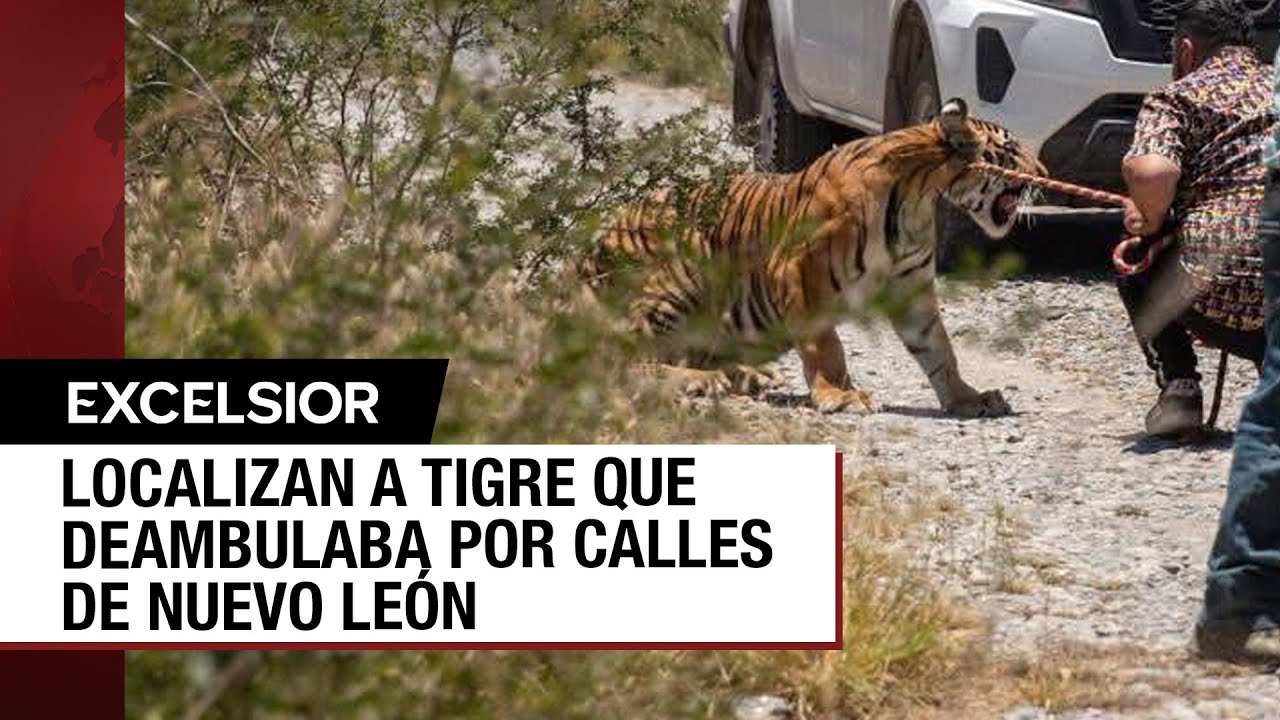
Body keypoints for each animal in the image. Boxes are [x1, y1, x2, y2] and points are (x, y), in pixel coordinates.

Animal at [582, 98, 1047, 418]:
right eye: (1009, 150)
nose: (1044, 173)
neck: (920, 194)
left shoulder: (911, 289)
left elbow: (939, 350)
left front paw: (969, 397)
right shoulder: (799, 273)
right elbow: (827, 345)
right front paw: (840, 395)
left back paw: (749, 376)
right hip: (682, 276)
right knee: (621, 360)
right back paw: (704, 381)